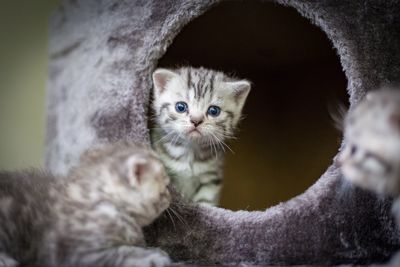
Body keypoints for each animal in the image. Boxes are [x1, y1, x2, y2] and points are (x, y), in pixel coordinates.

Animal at [150, 66, 250, 206]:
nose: (196, 120)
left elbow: (206, 202)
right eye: (180, 107)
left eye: (214, 111)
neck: (190, 152)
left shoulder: (211, 179)